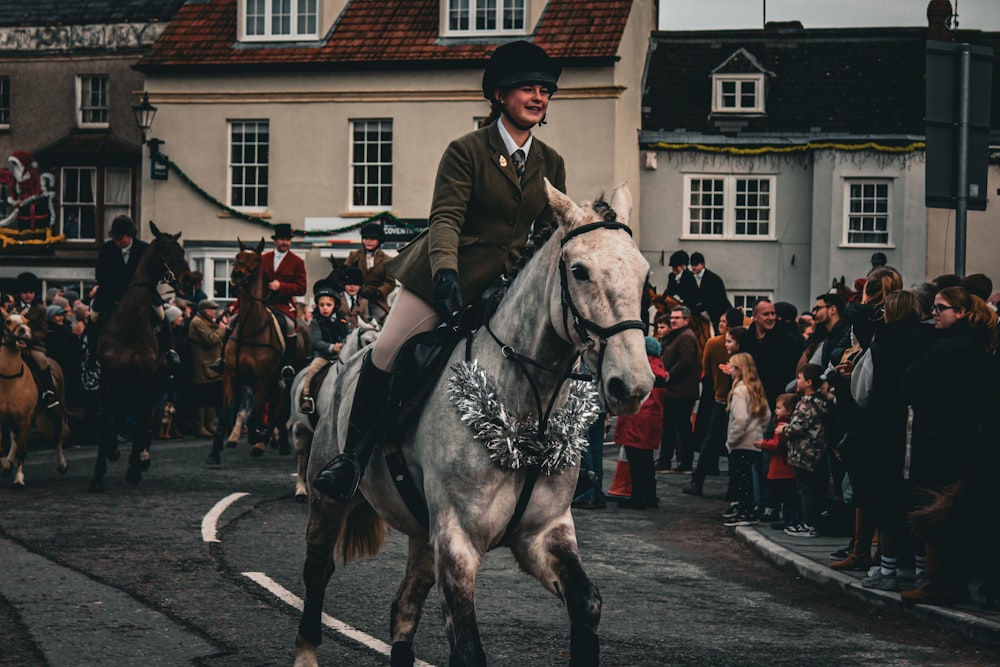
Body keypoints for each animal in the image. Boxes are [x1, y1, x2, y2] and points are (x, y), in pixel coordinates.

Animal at [0, 310, 68, 488]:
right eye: (8, 321)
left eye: (26, 321)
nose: (24, 331)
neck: (9, 378)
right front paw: (5, 463)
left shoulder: (25, 419)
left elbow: (23, 450)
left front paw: (19, 479)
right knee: (14, 440)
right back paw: (8, 464)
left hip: (56, 411)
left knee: (58, 437)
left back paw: (62, 465)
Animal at [87, 222, 189, 494]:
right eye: (165, 250)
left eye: (182, 251)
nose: (187, 281)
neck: (130, 323)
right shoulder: (110, 376)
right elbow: (108, 418)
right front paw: (98, 474)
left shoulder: (145, 377)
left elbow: (142, 417)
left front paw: (135, 466)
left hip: (155, 381)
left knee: (146, 415)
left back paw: (141, 456)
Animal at [207, 240, 308, 464]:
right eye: (237, 257)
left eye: (255, 259)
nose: (236, 275)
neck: (250, 330)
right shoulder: (232, 375)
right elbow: (227, 414)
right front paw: (215, 451)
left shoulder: (263, 377)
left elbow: (255, 416)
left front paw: (257, 436)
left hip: (287, 379)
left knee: (281, 410)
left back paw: (272, 441)